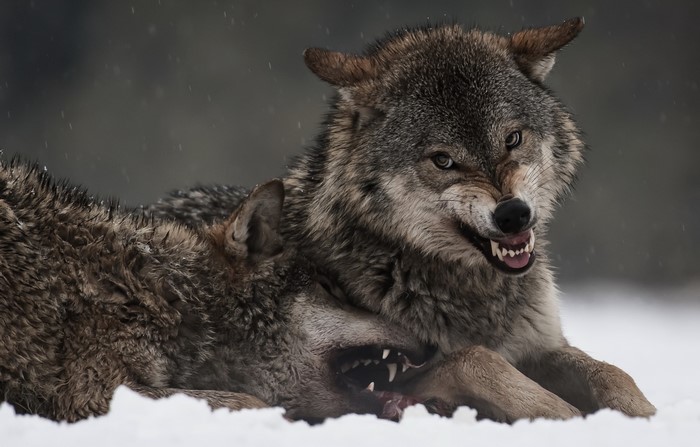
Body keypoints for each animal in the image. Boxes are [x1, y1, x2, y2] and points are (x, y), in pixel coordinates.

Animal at [147, 18, 656, 420]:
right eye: (443, 160)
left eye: (512, 139)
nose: (513, 214)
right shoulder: (392, 376)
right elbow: (477, 359)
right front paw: (566, 417)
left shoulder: (541, 346)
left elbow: (612, 374)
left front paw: (644, 416)